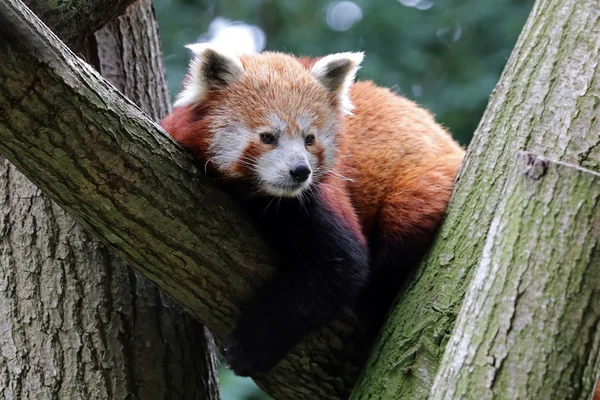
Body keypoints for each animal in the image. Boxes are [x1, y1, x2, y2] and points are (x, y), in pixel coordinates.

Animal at [159, 44, 464, 378]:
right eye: (268, 137)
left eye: (309, 139)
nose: (300, 171)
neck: (258, 196)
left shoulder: (316, 199)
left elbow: (341, 268)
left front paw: (251, 345)